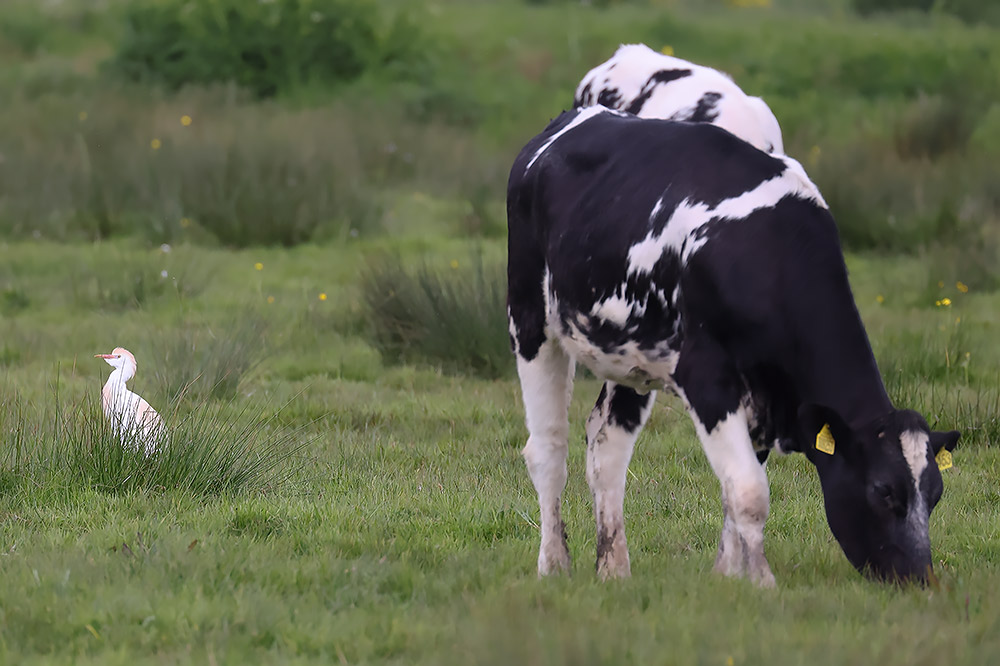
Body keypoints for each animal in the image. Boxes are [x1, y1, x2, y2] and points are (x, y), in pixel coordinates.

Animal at [506, 106, 959, 587]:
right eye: (883, 491)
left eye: (935, 494)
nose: (921, 578)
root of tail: (571, 119)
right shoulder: (706, 377)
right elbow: (749, 490)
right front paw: (760, 583)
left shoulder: (763, 395)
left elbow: (735, 487)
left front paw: (728, 577)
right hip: (529, 319)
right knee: (548, 449)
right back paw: (554, 564)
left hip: (630, 351)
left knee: (606, 445)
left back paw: (614, 570)